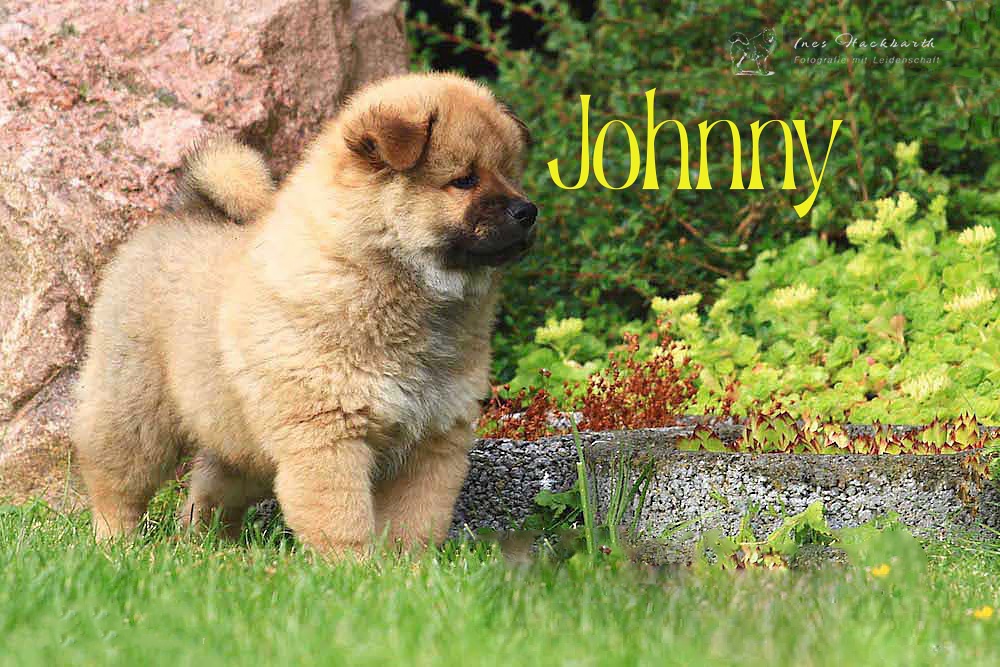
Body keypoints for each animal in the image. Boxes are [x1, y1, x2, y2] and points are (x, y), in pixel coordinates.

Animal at [72, 72, 537, 558]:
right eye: (464, 180)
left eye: (510, 175)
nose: (528, 211)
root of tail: (184, 213)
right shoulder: (327, 435)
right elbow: (342, 518)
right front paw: (353, 568)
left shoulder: (433, 438)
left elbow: (417, 522)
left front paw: (407, 568)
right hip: (135, 412)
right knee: (116, 483)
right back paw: (115, 545)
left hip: (243, 446)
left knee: (209, 495)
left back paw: (212, 549)